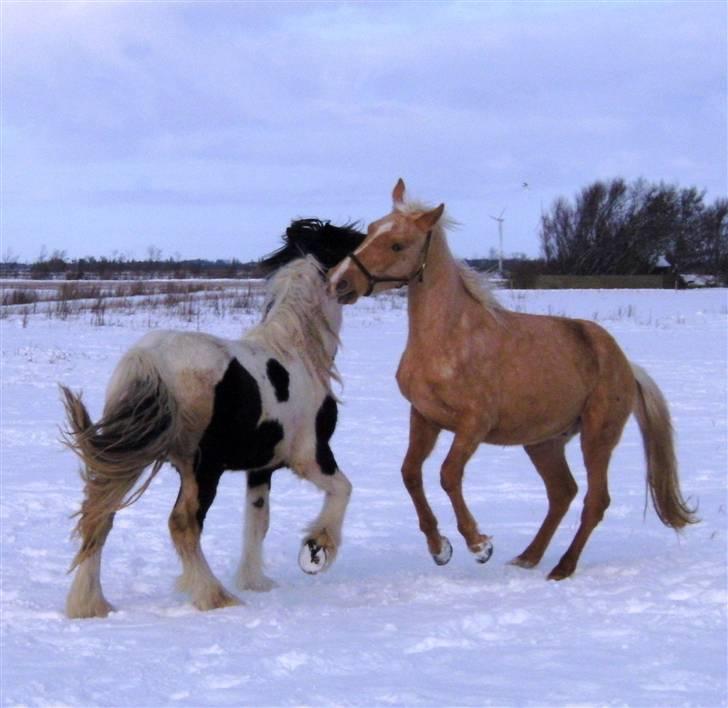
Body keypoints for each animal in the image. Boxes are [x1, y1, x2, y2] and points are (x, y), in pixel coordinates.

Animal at [58, 218, 364, 616]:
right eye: (350, 243)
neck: (298, 351)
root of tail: (149, 360)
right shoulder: (310, 456)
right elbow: (343, 490)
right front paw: (317, 548)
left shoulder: (261, 468)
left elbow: (257, 522)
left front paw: (256, 582)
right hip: (200, 467)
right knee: (182, 522)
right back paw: (214, 596)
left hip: (127, 455)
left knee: (100, 514)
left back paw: (90, 604)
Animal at [330, 180, 692, 580]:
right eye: (371, 230)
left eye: (398, 244)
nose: (339, 283)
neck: (448, 339)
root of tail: (626, 364)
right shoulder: (424, 417)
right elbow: (410, 473)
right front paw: (439, 548)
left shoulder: (474, 424)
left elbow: (448, 474)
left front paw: (478, 544)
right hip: (544, 442)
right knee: (562, 492)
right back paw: (527, 557)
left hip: (597, 438)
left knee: (595, 501)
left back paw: (562, 568)